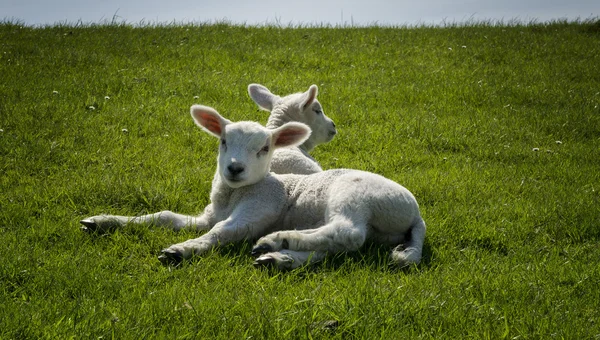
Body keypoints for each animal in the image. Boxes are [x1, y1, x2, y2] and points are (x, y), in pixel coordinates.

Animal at [79, 105, 426, 270]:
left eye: (264, 149)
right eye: (222, 140)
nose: (234, 168)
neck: (233, 196)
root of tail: (416, 215)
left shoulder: (259, 208)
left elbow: (222, 232)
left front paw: (181, 250)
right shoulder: (208, 215)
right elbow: (164, 217)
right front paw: (102, 221)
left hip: (355, 197)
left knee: (348, 232)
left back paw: (277, 240)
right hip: (375, 231)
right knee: (336, 247)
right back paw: (278, 258)